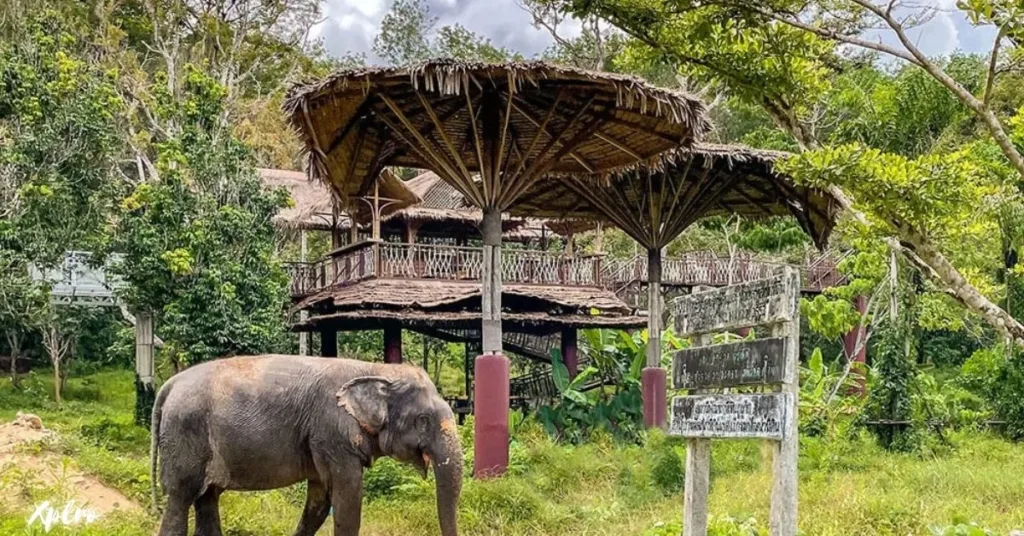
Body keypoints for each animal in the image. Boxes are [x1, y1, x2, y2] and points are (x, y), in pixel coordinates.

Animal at [149, 356, 464, 536]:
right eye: (423, 420)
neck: (375, 369)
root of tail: (169, 384)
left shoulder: (318, 439)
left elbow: (320, 500)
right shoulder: (331, 430)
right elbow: (348, 496)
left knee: (207, 498)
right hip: (184, 435)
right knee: (180, 498)